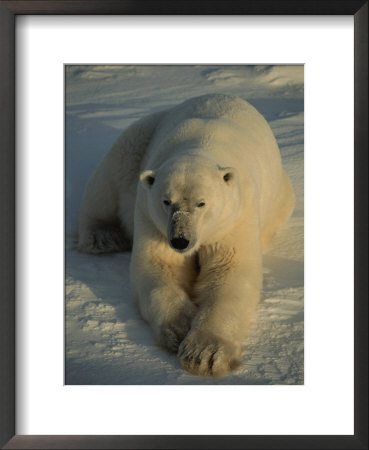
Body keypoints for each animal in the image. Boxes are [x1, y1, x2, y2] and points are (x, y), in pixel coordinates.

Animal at [77, 94, 294, 376]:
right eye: (166, 201)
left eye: (201, 203)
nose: (180, 240)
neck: (202, 143)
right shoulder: (151, 214)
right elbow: (160, 265)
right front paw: (180, 329)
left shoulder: (235, 216)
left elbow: (230, 271)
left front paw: (204, 355)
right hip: (140, 140)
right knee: (109, 178)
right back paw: (102, 237)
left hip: (282, 197)